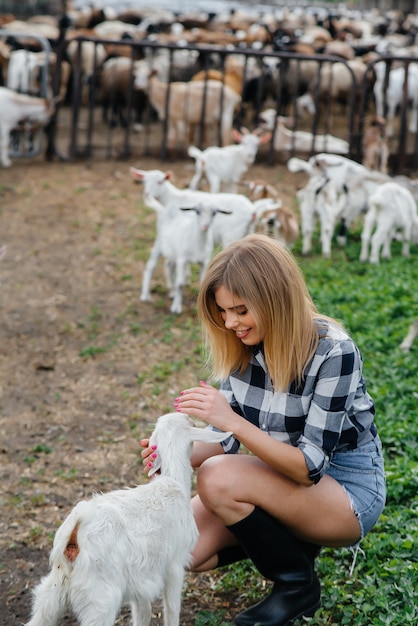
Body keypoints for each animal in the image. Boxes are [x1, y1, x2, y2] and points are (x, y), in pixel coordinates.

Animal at [25, 410, 232, 624]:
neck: (172, 482)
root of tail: (74, 535)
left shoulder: (141, 579)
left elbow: (143, 612)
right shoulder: (175, 564)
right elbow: (172, 609)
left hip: (54, 589)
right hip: (101, 598)